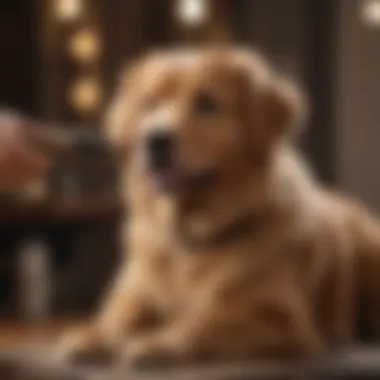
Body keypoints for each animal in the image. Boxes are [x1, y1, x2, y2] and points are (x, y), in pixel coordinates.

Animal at [58, 46, 380, 366]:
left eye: (207, 103)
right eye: (149, 104)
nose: (155, 140)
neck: (190, 236)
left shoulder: (282, 319)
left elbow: (205, 320)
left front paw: (156, 341)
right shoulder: (136, 292)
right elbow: (120, 318)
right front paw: (94, 336)